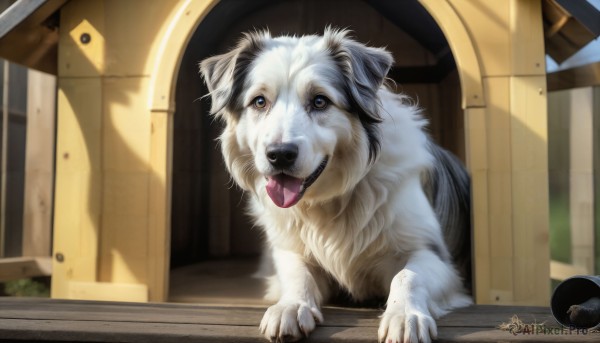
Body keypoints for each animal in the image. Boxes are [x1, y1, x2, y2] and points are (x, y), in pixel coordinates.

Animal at [202, 27, 474, 343]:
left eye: (320, 101)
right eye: (259, 101)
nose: (279, 154)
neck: (329, 201)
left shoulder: (434, 255)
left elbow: (407, 276)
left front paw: (405, 315)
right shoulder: (290, 249)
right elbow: (296, 273)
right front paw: (290, 306)